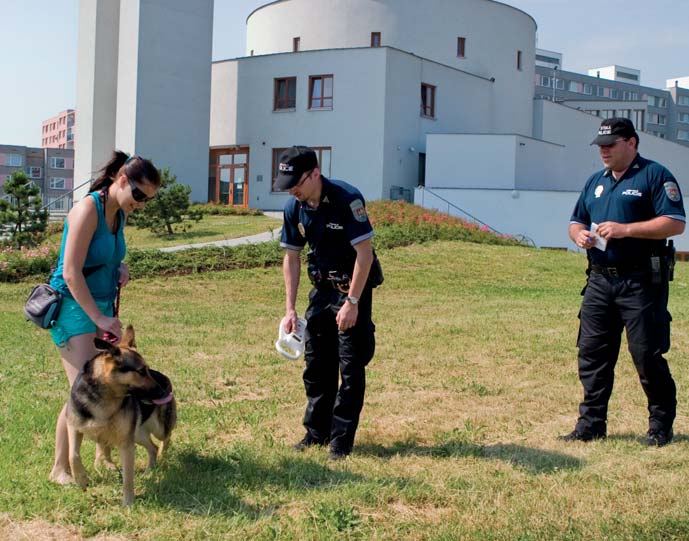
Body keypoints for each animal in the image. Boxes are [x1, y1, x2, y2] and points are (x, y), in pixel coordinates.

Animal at [66, 324, 176, 506]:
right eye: (141, 371)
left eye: (147, 369)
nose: (164, 391)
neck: (104, 398)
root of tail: (165, 377)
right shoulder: (74, 427)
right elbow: (72, 455)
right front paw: (81, 479)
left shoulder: (126, 444)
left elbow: (128, 478)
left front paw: (128, 503)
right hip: (137, 434)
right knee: (152, 447)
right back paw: (149, 471)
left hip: (157, 429)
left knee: (165, 438)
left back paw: (162, 455)